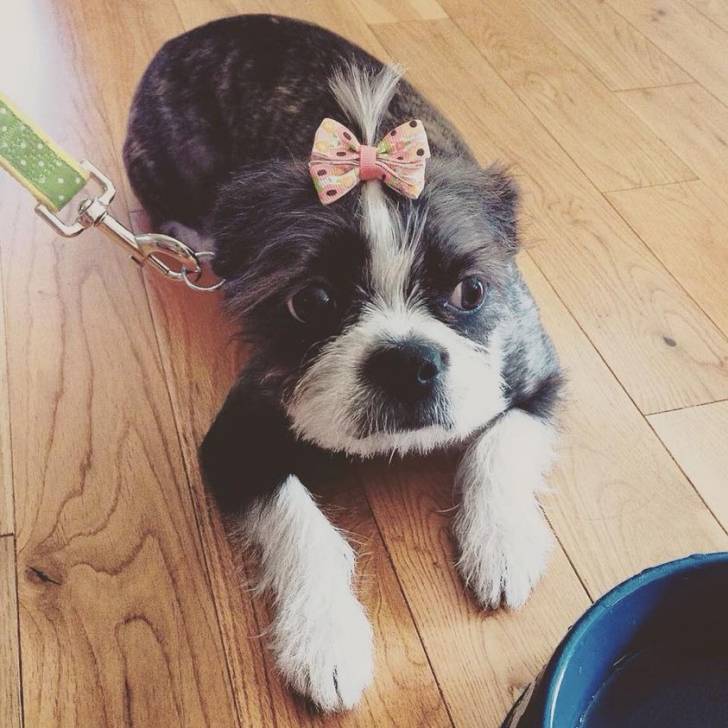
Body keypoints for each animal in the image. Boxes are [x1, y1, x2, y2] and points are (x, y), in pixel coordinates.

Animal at [123, 14, 564, 712]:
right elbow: (301, 525)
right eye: (310, 302)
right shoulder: (234, 440)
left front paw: (502, 545)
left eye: (471, 292)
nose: (406, 362)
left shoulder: (535, 373)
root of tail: (185, 36)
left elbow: (500, 446)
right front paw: (324, 640)